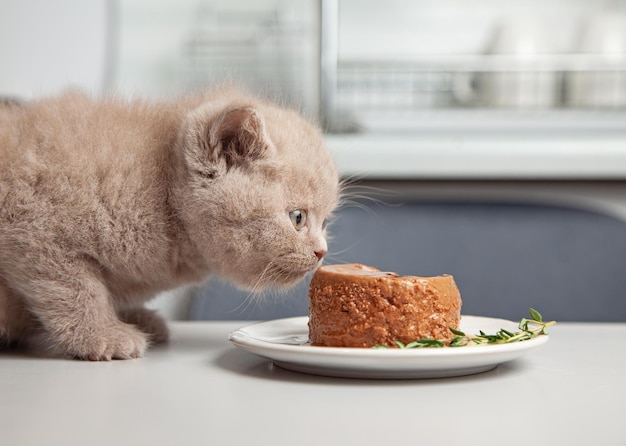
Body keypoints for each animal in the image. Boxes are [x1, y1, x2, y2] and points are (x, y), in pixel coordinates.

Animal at [0, 86, 338, 358]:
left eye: (325, 223)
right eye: (298, 218)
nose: (321, 252)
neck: (161, 198)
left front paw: (136, 319)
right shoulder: (35, 228)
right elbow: (76, 288)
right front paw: (103, 335)